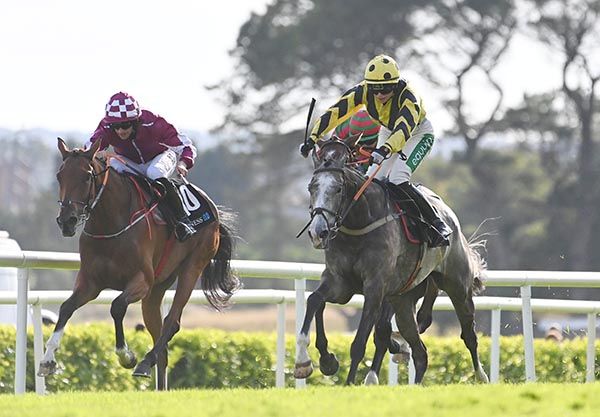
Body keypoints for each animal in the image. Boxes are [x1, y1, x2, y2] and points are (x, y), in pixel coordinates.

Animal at [38, 138, 241, 388]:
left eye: (86, 176)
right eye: (59, 175)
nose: (67, 221)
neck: (111, 225)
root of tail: (211, 207)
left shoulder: (141, 281)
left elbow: (117, 306)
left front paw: (126, 356)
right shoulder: (90, 283)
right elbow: (66, 307)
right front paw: (47, 360)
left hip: (192, 266)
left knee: (172, 321)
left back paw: (145, 362)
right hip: (158, 286)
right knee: (160, 339)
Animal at [292, 136, 490, 384]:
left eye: (337, 189)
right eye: (311, 187)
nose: (318, 233)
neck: (359, 223)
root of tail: (450, 216)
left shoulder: (375, 289)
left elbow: (360, 342)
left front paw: (349, 382)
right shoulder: (339, 282)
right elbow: (314, 301)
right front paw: (313, 361)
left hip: (457, 287)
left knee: (468, 333)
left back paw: (482, 376)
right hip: (403, 301)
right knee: (420, 351)